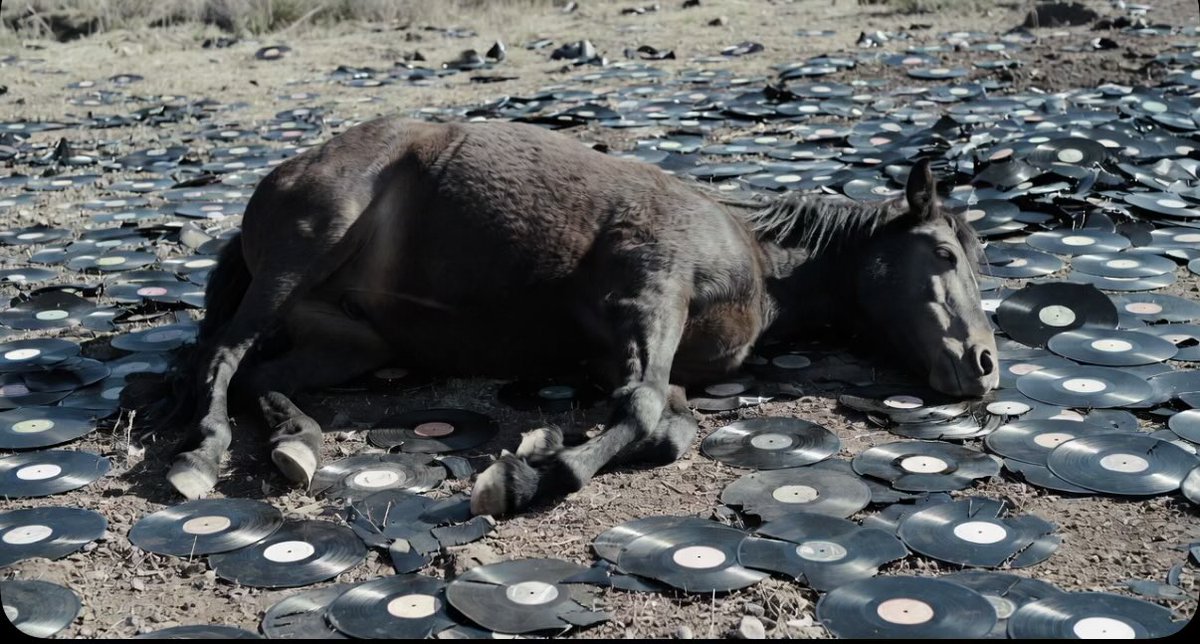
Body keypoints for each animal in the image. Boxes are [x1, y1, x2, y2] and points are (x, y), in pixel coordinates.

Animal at [160, 117, 998, 515]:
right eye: (943, 255)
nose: (986, 366)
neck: (758, 257)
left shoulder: (631, 351)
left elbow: (667, 425)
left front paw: (543, 443)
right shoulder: (651, 294)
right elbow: (643, 410)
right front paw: (533, 474)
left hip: (349, 343)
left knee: (259, 376)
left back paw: (296, 443)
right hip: (304, 251)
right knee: (221, 360)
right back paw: (202, 455)